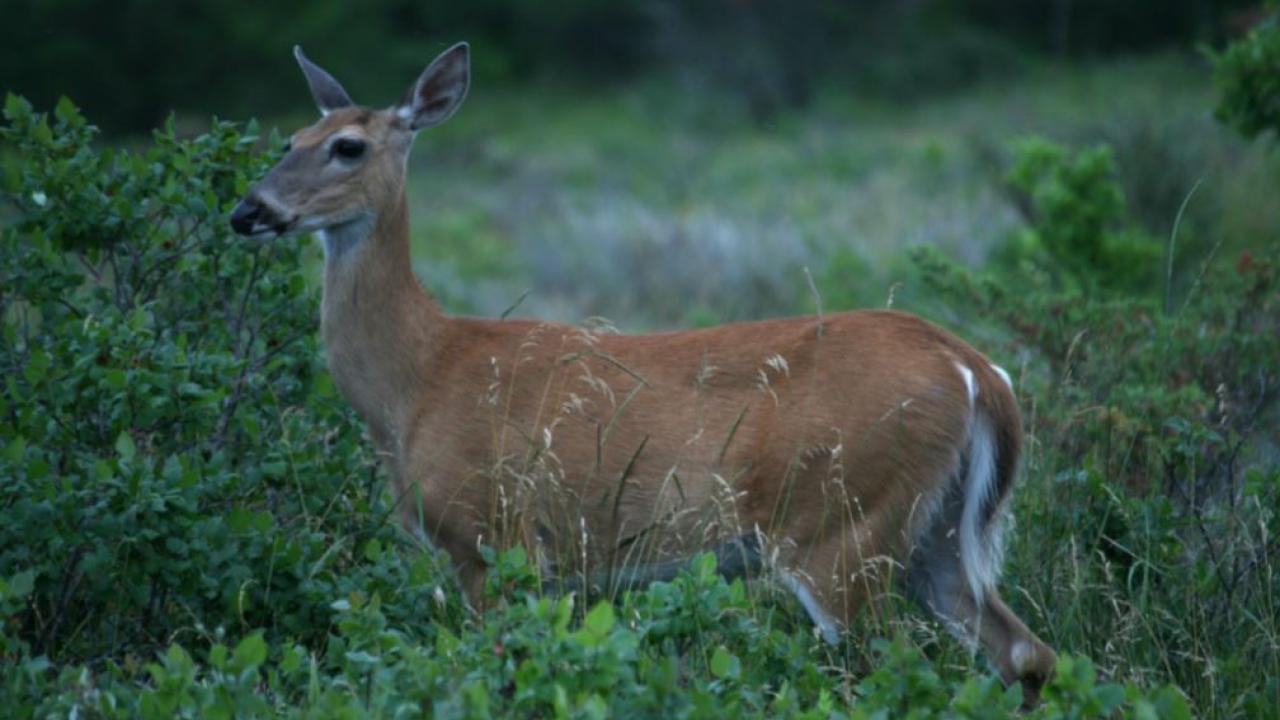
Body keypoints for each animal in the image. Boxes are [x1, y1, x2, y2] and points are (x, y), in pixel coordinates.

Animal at [230, 40, 1059, 702]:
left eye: (347, 146)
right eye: (290, 138)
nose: (249, 210)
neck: (418, 379)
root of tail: (975, 370)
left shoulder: (493, 537)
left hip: (838, 520)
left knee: (890, 667)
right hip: (933, 531)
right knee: (1025, 651)